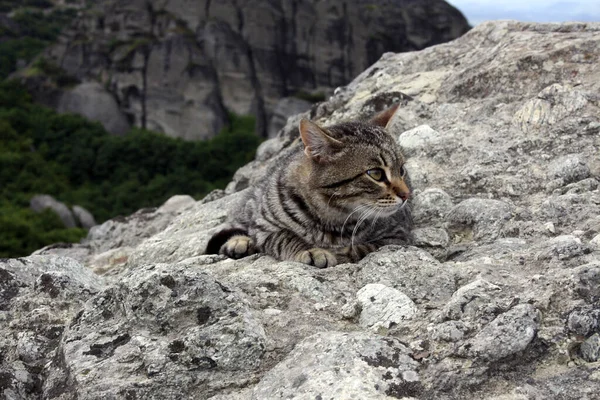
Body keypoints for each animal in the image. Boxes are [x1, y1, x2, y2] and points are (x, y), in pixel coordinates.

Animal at [206, 104, 412, 268]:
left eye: (401, 169)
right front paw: (312, 251)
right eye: (376, 173)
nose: (406, 195)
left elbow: (363, 248)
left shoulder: (398, 235)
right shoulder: (265, 226)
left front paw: (342, 252)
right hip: (252, 206)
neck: (332, 218)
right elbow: (285, 237)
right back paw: (239, 241)